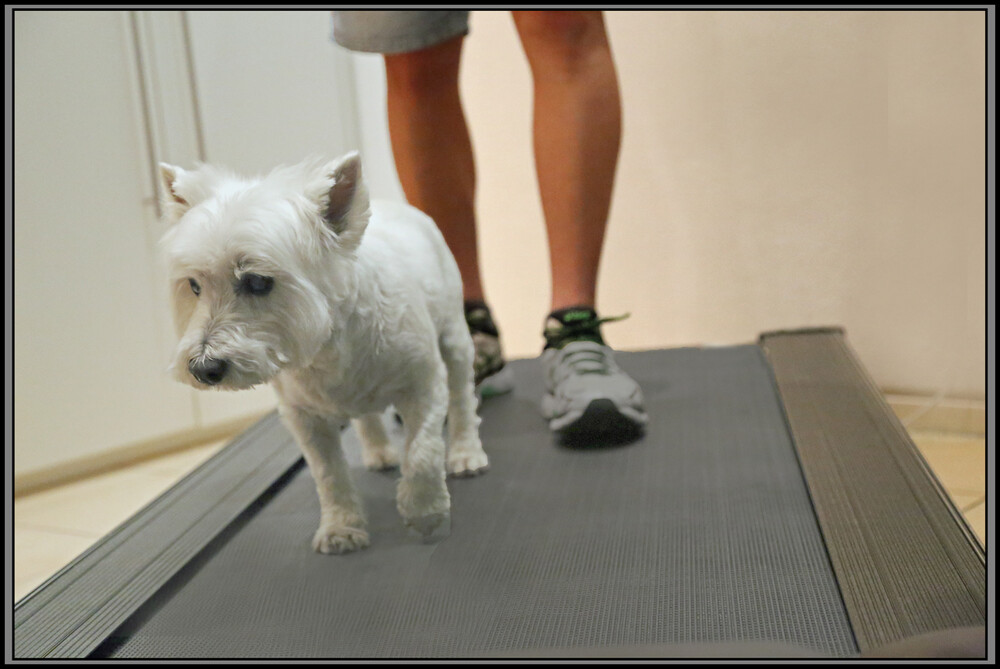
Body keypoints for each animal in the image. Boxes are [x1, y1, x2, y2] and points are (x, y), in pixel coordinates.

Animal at [158, 153, 490, 552]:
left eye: (257, 281)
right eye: (193, 286)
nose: (203, 368)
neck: (326, 347)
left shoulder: (424, 384)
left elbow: (423, 453)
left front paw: (426, 513)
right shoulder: (303, 416)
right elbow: (328, 473)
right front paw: (341, 528)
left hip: (455, 337)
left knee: (461, 398)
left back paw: (466, 453)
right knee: (367, 416)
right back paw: (379, 451)